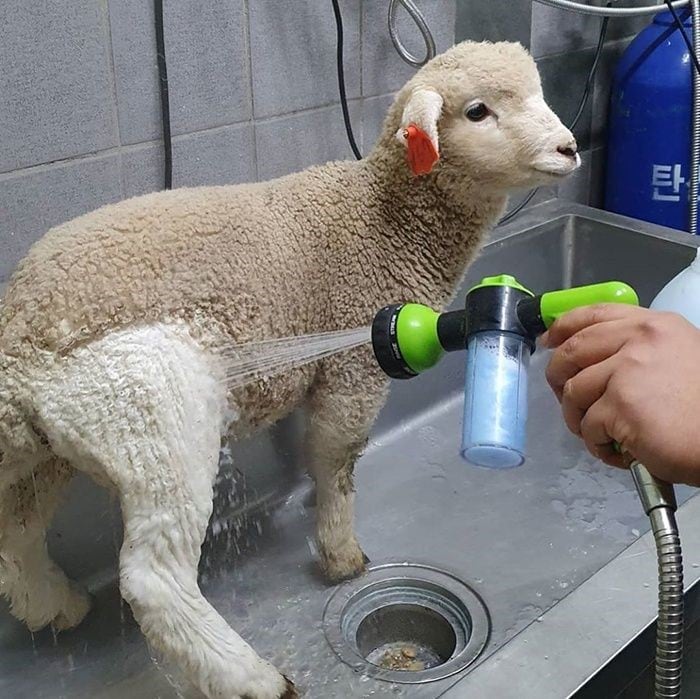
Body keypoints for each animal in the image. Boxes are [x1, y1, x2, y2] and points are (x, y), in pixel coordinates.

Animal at [0, 41, 576, 696]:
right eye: (477, 111)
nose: (570, 148)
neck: (382, 220)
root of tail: (18, 339)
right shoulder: (355, 363)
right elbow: (336, 456)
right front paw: (340, 552)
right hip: (151, 415)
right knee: (153, 577)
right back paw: (251, 677)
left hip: (47, 447)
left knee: (18, 530)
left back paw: (55, 606)